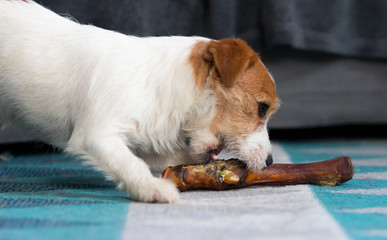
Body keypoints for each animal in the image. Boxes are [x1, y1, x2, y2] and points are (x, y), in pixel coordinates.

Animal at [0, 0, 278, 202]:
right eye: (262, 108)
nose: (270, 162)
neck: (158, 86)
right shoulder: (97, 135)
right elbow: (131, 164)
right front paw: (153, 188)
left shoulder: (148, 142)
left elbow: (163, 157)